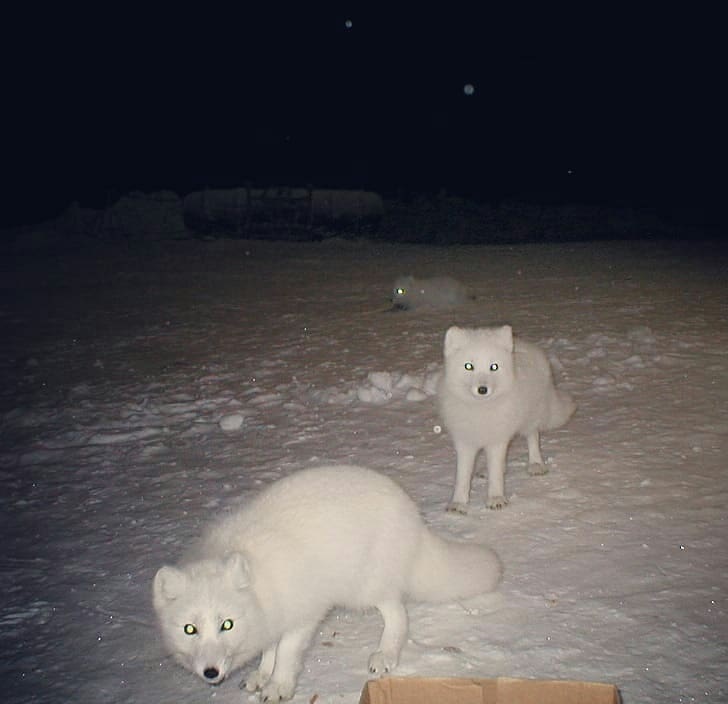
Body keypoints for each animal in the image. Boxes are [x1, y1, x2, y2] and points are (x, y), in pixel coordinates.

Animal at [153, 464, 500, 700]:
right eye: (189, 629)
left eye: (226, 624)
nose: (210, 672)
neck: (261, 581)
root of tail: (414, 517)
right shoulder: (271, 615)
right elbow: (268, 649)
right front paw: (261, 675)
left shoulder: (304, 614)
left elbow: (286, 652)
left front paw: (279, 686)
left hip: (365, 587)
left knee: (399, 615)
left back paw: (385, 655)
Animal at [436, 324, 576, 512]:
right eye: (468, 366)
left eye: (494, 367)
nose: (482, 389)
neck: (480, 411)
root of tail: (522, 342)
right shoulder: (465, 442)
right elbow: (462, 477)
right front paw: (458, 503)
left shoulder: (497, 441)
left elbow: (495, 473)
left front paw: (496, 498)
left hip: (530, 418)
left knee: (533, 437)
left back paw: (536, 464)